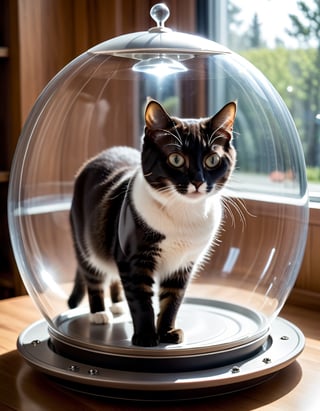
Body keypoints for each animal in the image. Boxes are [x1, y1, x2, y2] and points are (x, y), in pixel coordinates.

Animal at [68, 100, 238, 348]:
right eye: (176, 159)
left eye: (212, 160)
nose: (197, 181)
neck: (183, 213)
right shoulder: (133, 259)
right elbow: (141, 300)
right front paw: (146, 336)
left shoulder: (183, 264)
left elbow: (172, 300)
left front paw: (167, 332)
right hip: (85, 242)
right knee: (94, 275)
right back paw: (99, 313)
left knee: (113, 276)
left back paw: (117, 304)